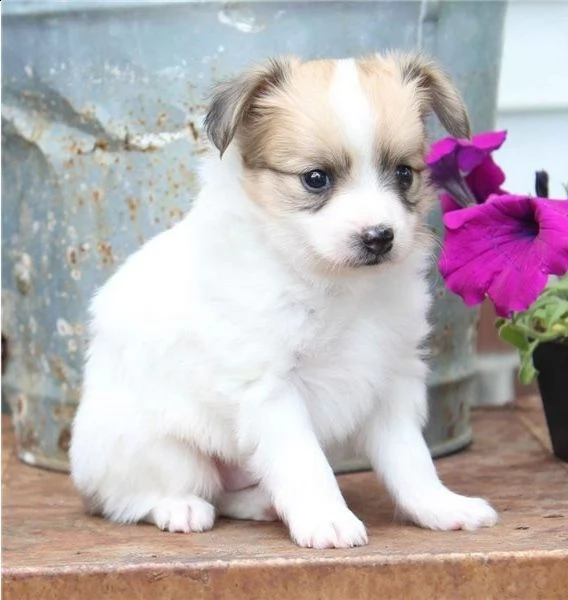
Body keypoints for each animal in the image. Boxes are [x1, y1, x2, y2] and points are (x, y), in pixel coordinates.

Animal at [70, 52, 496, 548]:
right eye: (315, 179)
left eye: (404, 173)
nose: (379, 237)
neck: (332, 282)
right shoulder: (269, 390)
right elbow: (305, 463)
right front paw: (327, 518)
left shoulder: (390, 378)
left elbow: (412, 460)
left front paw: (439, 506)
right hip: (159, 448)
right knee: (144, 494)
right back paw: (180, 507)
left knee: (229, 493)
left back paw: (263, 504)